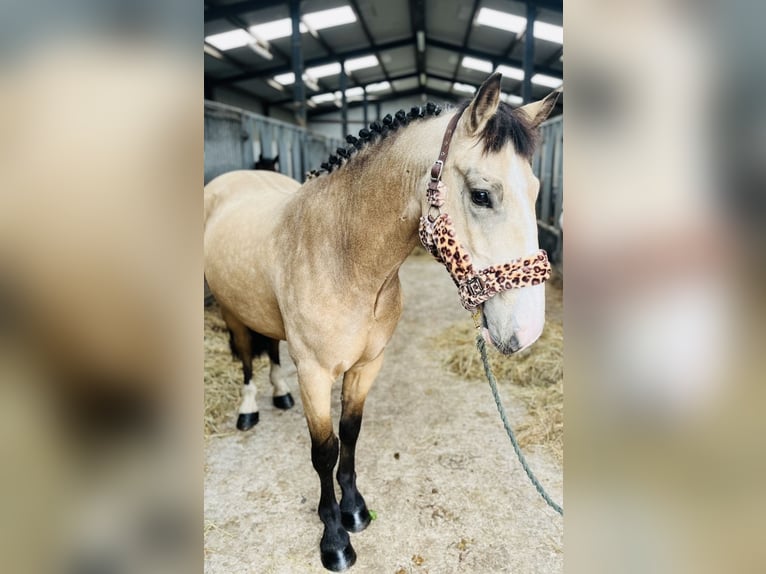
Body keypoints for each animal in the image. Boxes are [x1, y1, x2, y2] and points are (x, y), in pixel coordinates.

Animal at [203, 73, 558, 571]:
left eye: (535, 190)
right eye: (481, 195)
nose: (527, 331)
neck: (342, 254)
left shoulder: (369, 363)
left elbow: (350, 435)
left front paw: (353, 511)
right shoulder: (314, 372)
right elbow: (324, 451)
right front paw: (334, 539)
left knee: (268, 348)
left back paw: (279, 395)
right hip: (231, 311)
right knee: (247, 359)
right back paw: (249, 409)